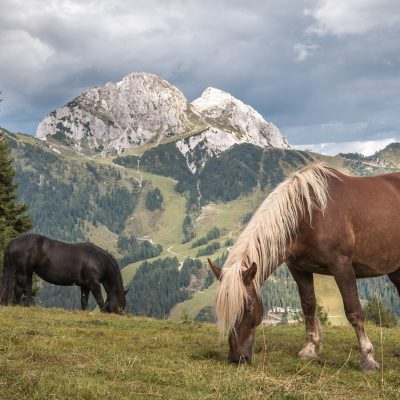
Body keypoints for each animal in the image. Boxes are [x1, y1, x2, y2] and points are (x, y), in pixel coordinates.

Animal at [208, 162, 400, 372]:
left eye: (249, 307)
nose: (237, 358)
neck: (309, 214)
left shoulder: (342, 266)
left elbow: (353, 311)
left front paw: (368, 359)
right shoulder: (299, 269)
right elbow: (308, 306)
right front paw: (309, 350)